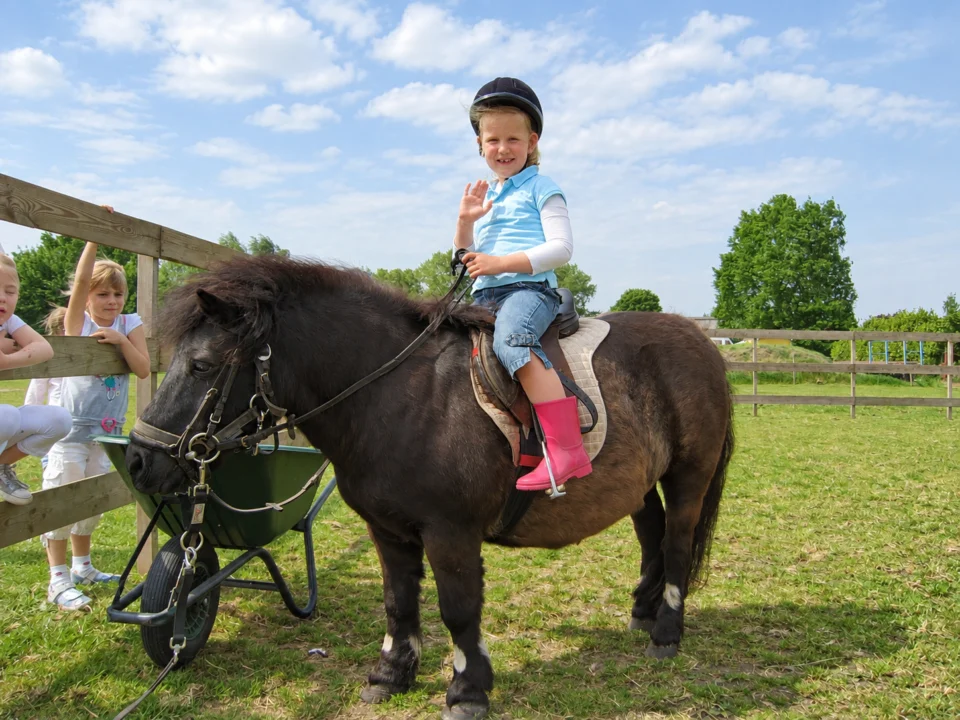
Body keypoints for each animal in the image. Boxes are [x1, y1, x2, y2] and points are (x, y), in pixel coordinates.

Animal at [127, 255, 734, 720]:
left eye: (202, 365)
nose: (137, 459)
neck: (398, 392)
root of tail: (700, 339)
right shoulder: (388, 530)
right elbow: (398, 603)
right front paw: (392, 674)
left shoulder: (450, 533)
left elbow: (459, 610)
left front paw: (467, 691)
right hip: (640, 483)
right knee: (651, 533)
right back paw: (644, 612)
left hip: (689, 474)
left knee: (677, 544)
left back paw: (666, 632)